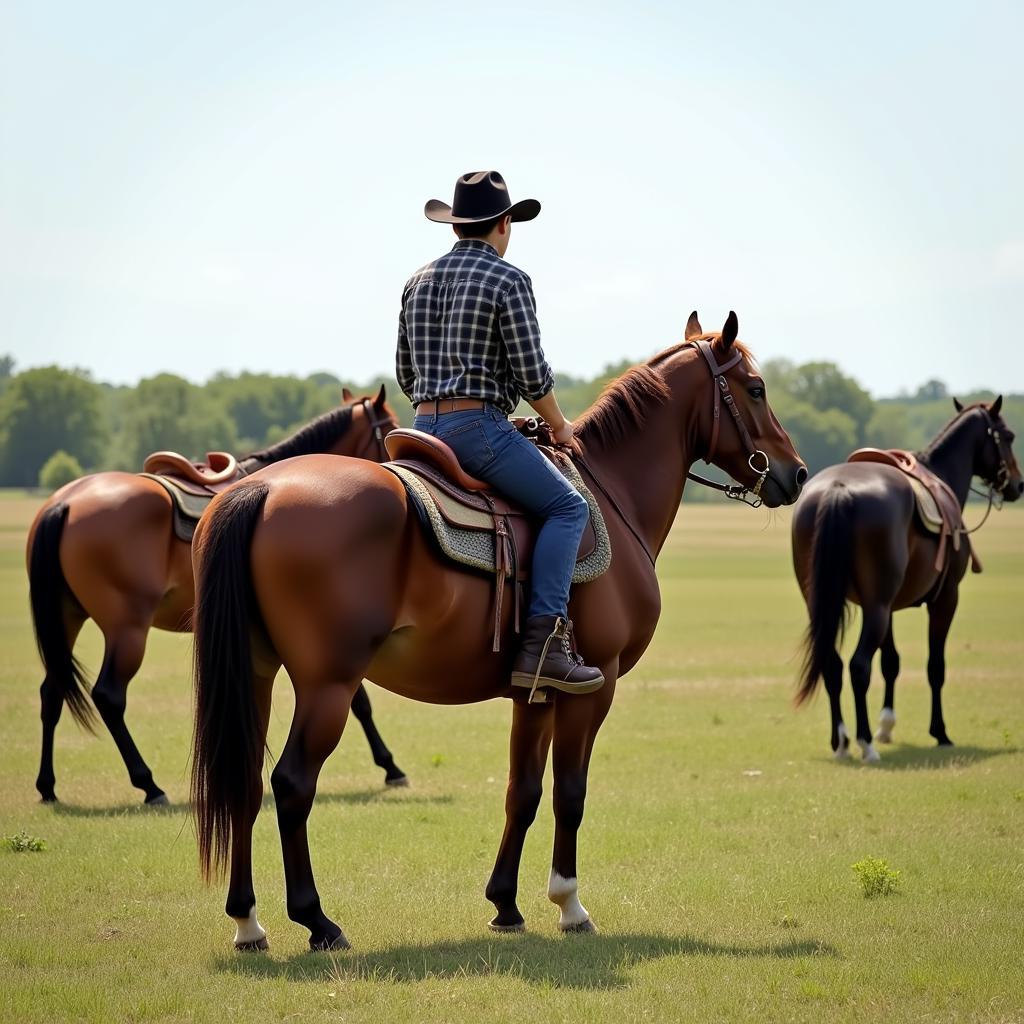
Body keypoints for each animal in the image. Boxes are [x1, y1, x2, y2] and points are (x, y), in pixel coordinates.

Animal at [27, 382, 407, 798]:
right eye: (390, 428)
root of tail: (65, 502)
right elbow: (360, 702)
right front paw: (390, 765)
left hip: (67, 617)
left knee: (52, 691)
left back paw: (47, 784)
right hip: (126, 627)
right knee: (108, 696)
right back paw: (149, 784)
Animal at [188, 311, 802, 950]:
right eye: (756, 389)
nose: (797, 472)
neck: (613, 491)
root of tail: (261, 489)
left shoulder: (537, 692)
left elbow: (522, 793)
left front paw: (505, 904)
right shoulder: (595, 686)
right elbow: (570, 793)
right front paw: (569, 904)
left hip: (256, 674)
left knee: (244, 783)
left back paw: (247, 920)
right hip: (327, 684)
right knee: (291, 785)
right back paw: (317, 920)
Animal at [790, 397, 1024, 761]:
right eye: (1009, 436)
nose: (1017, 484)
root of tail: (837, 490)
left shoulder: (888, 607)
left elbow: (891, 662)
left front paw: (887, 725)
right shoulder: (944, 599)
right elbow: (935, 667)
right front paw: (939, 732)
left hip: (831, 605)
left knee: (833, 665)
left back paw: (841, 741)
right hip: (877, 607)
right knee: (858, 666)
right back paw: (865, 742)